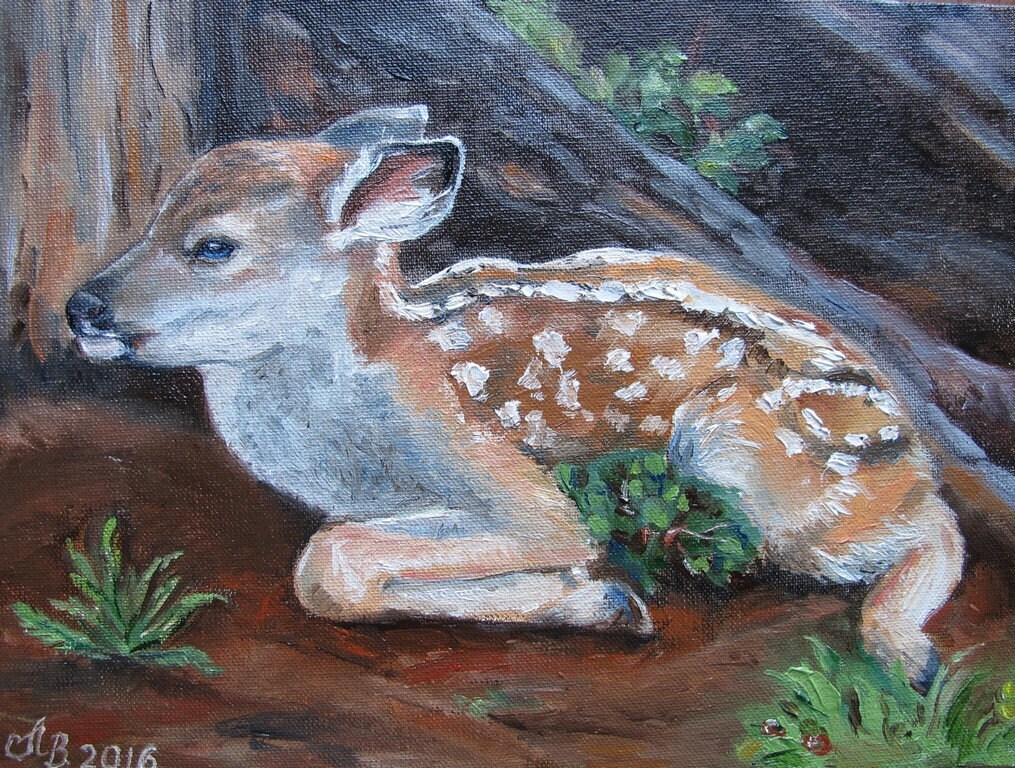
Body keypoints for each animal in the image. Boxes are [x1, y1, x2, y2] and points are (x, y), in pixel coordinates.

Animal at [66, 106, 964, 687]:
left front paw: (600, 597)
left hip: (747, 455)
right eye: (151, 218)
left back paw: (902, 651)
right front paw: (597, 599)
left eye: (214, 246)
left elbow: (330, 562)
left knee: (936, 526)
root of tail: (900, 421)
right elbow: (344, 556)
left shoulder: (493, 466)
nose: (83, 308)